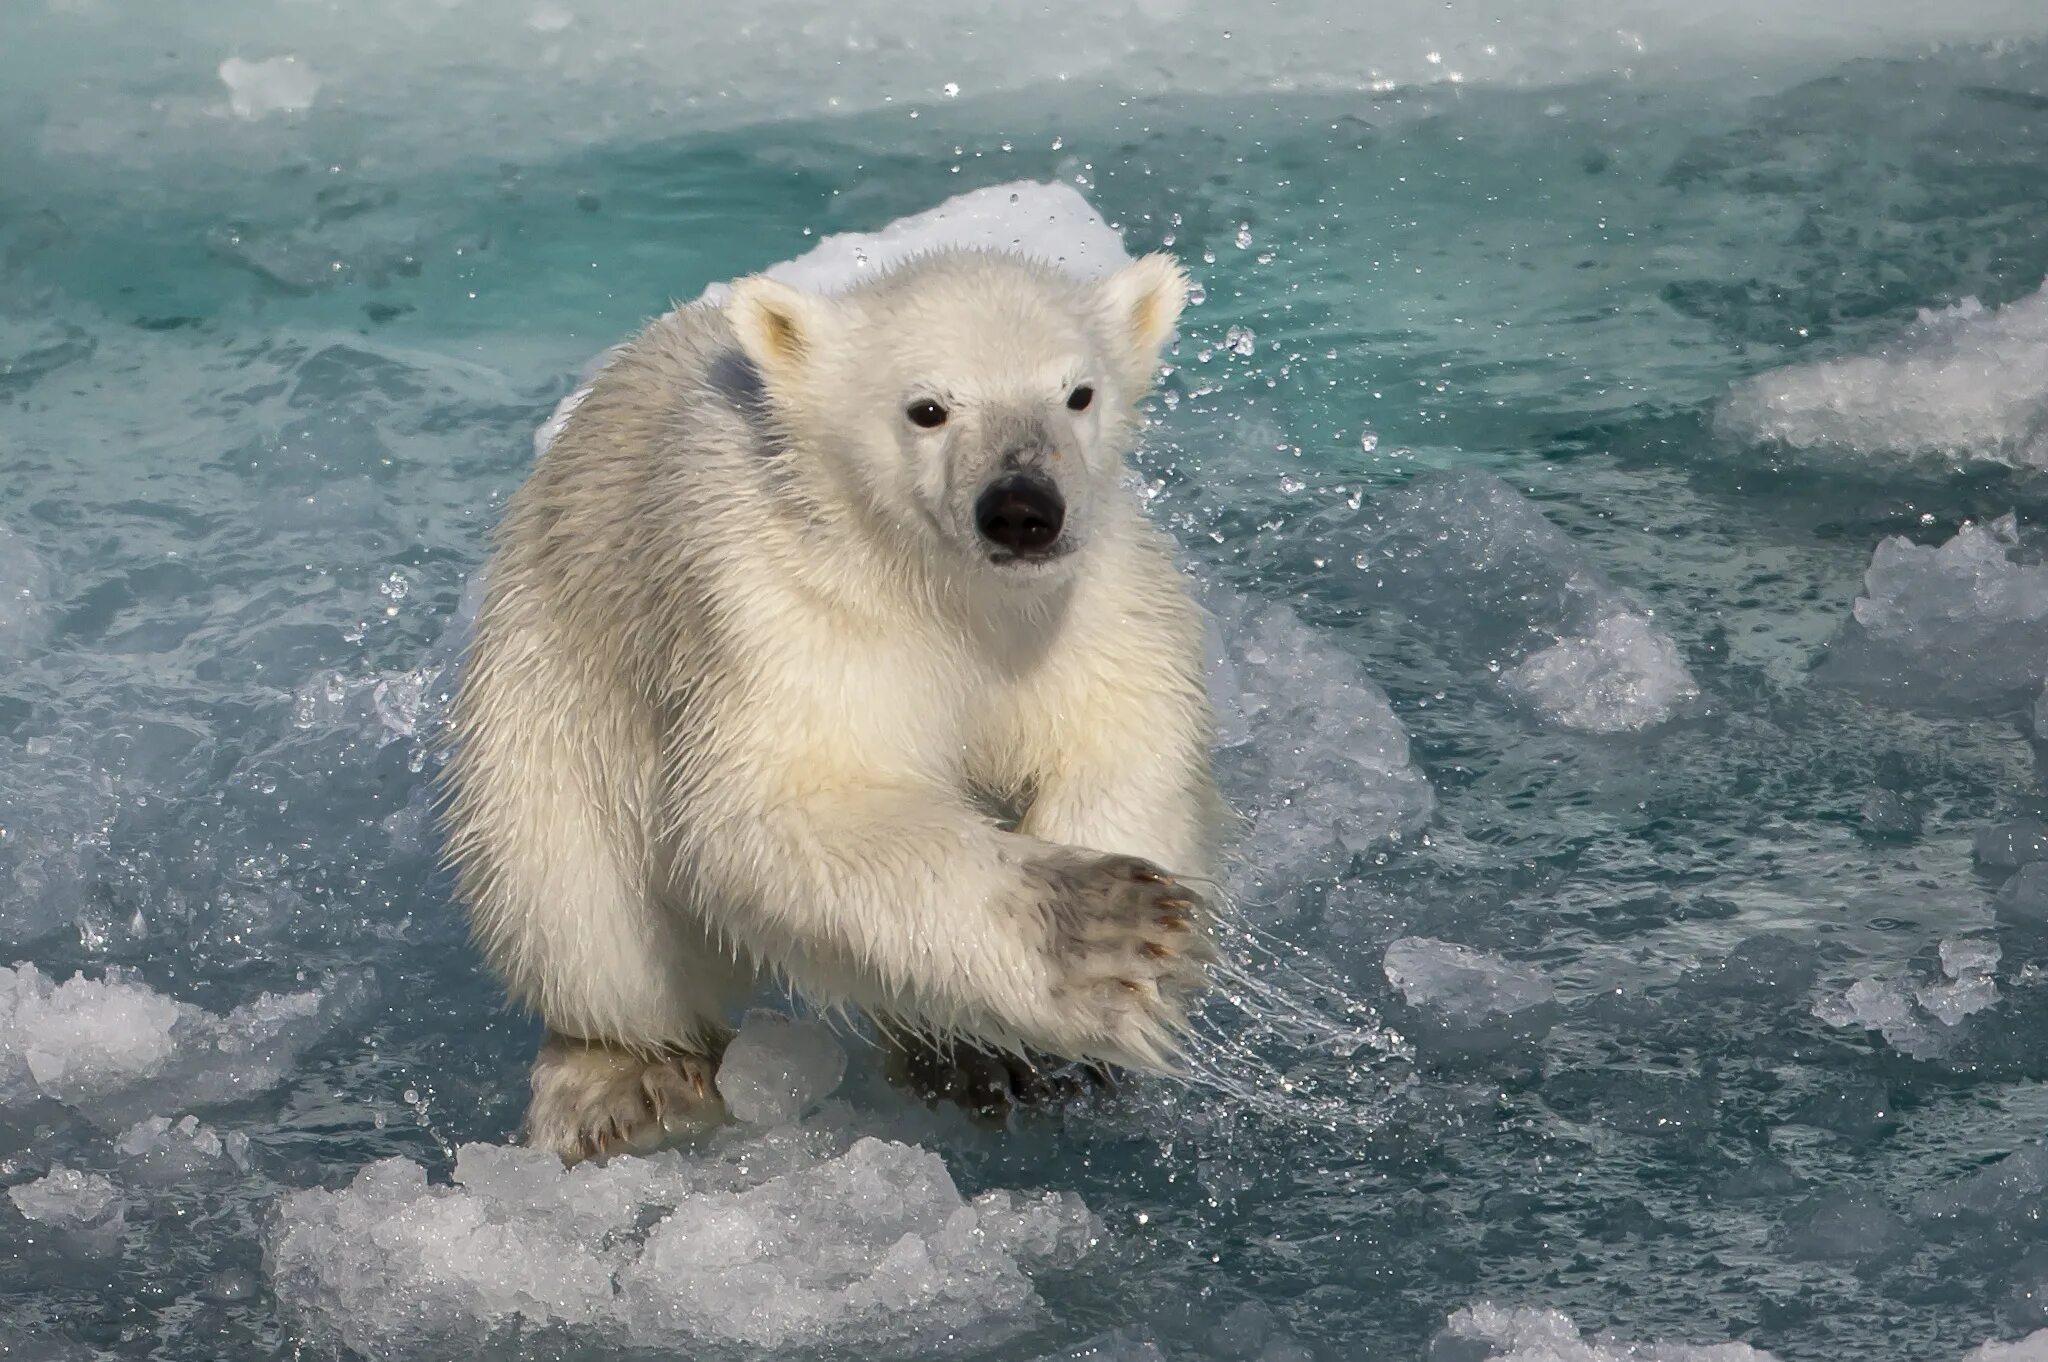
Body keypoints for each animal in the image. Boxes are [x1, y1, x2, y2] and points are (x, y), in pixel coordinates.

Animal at [444, 244, 1212, 1155]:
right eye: (927, 408)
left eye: (1079, 393)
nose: (1022, 509)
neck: (937, 587)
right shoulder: (789, 610)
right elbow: (784, 808)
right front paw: (1101, 930)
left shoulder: (1089, 601)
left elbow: (1128, 734)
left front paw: (1117, 978)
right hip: (543, 690)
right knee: (575, 909)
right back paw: (626, 1077)